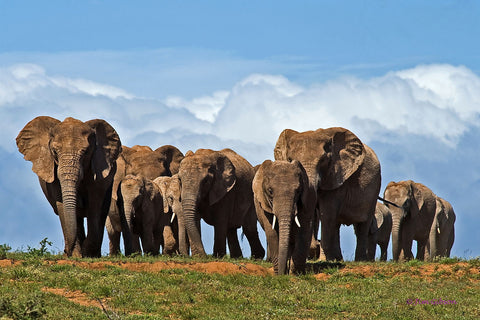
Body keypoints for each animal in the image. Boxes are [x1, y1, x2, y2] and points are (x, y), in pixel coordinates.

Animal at [16, 116, 122, 256]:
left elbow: (95, 205)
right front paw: (77, 254)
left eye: (86, 152)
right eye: (54, 151)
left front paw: (87, 253)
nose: (66, 251)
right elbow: (62, 206)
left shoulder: (99, 168)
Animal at [274, 126, 382, 262]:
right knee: (337, 224)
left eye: (323, 160)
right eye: (290, 160)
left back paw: (360, 260)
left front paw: (323, 260)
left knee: (362, 226)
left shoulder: (337, 175)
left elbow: (327, 213)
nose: (314, 246)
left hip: (375, 188)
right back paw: (338, 259)